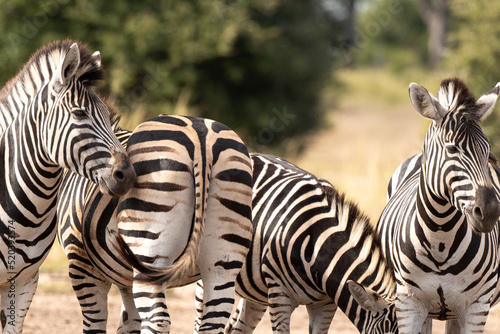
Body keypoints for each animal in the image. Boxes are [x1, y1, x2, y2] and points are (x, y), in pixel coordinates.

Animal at [57, 113, 254, 332]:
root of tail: (202, 138)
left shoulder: (82, 264)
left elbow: (95, 323)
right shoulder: (125, 278)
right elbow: (129, 323)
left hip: (149, 251)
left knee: (158, 319)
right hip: (222, 263)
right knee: (213, 321)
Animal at [364, 77, 500, 332]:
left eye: (488, 153)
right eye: (452, 148)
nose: (489, 212)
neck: (440, 237)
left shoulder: (477, 306)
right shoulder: (407, 303)